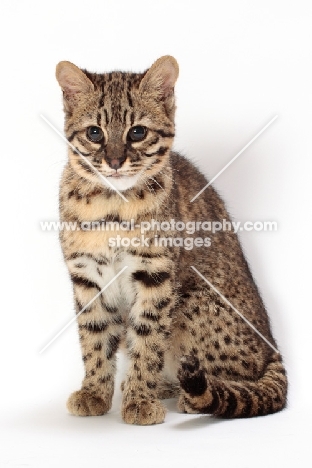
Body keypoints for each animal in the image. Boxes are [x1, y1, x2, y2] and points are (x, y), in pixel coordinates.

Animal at [55, 54, 288, 424]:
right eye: (94, 133)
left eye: (137, 132)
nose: (115, 161)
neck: (112, 206)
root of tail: (272, 347)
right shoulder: (88, 276)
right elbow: (94, 338)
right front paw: (95, 392)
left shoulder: (156, 274)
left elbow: (147, 340)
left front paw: (139, 399)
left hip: (194, 301)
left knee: (238, 377)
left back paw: (192, 396)